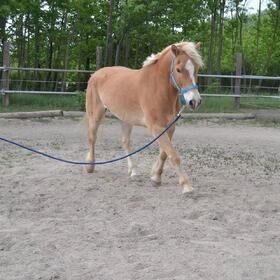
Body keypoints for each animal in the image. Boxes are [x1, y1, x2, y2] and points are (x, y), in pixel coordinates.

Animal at [84, 41, 202, 194]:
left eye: (197, 68)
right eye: (178, 69)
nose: (194, 101)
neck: (158, 88)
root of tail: (96, 74)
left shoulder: (170, 127)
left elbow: (164, 153)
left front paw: (156, 177)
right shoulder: (156, 127)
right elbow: (173, 155)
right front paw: (186, 186)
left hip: (125, 119)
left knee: (125, 142)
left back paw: (133, 171)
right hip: (96, 114)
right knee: (92, 138)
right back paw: (90, 166)